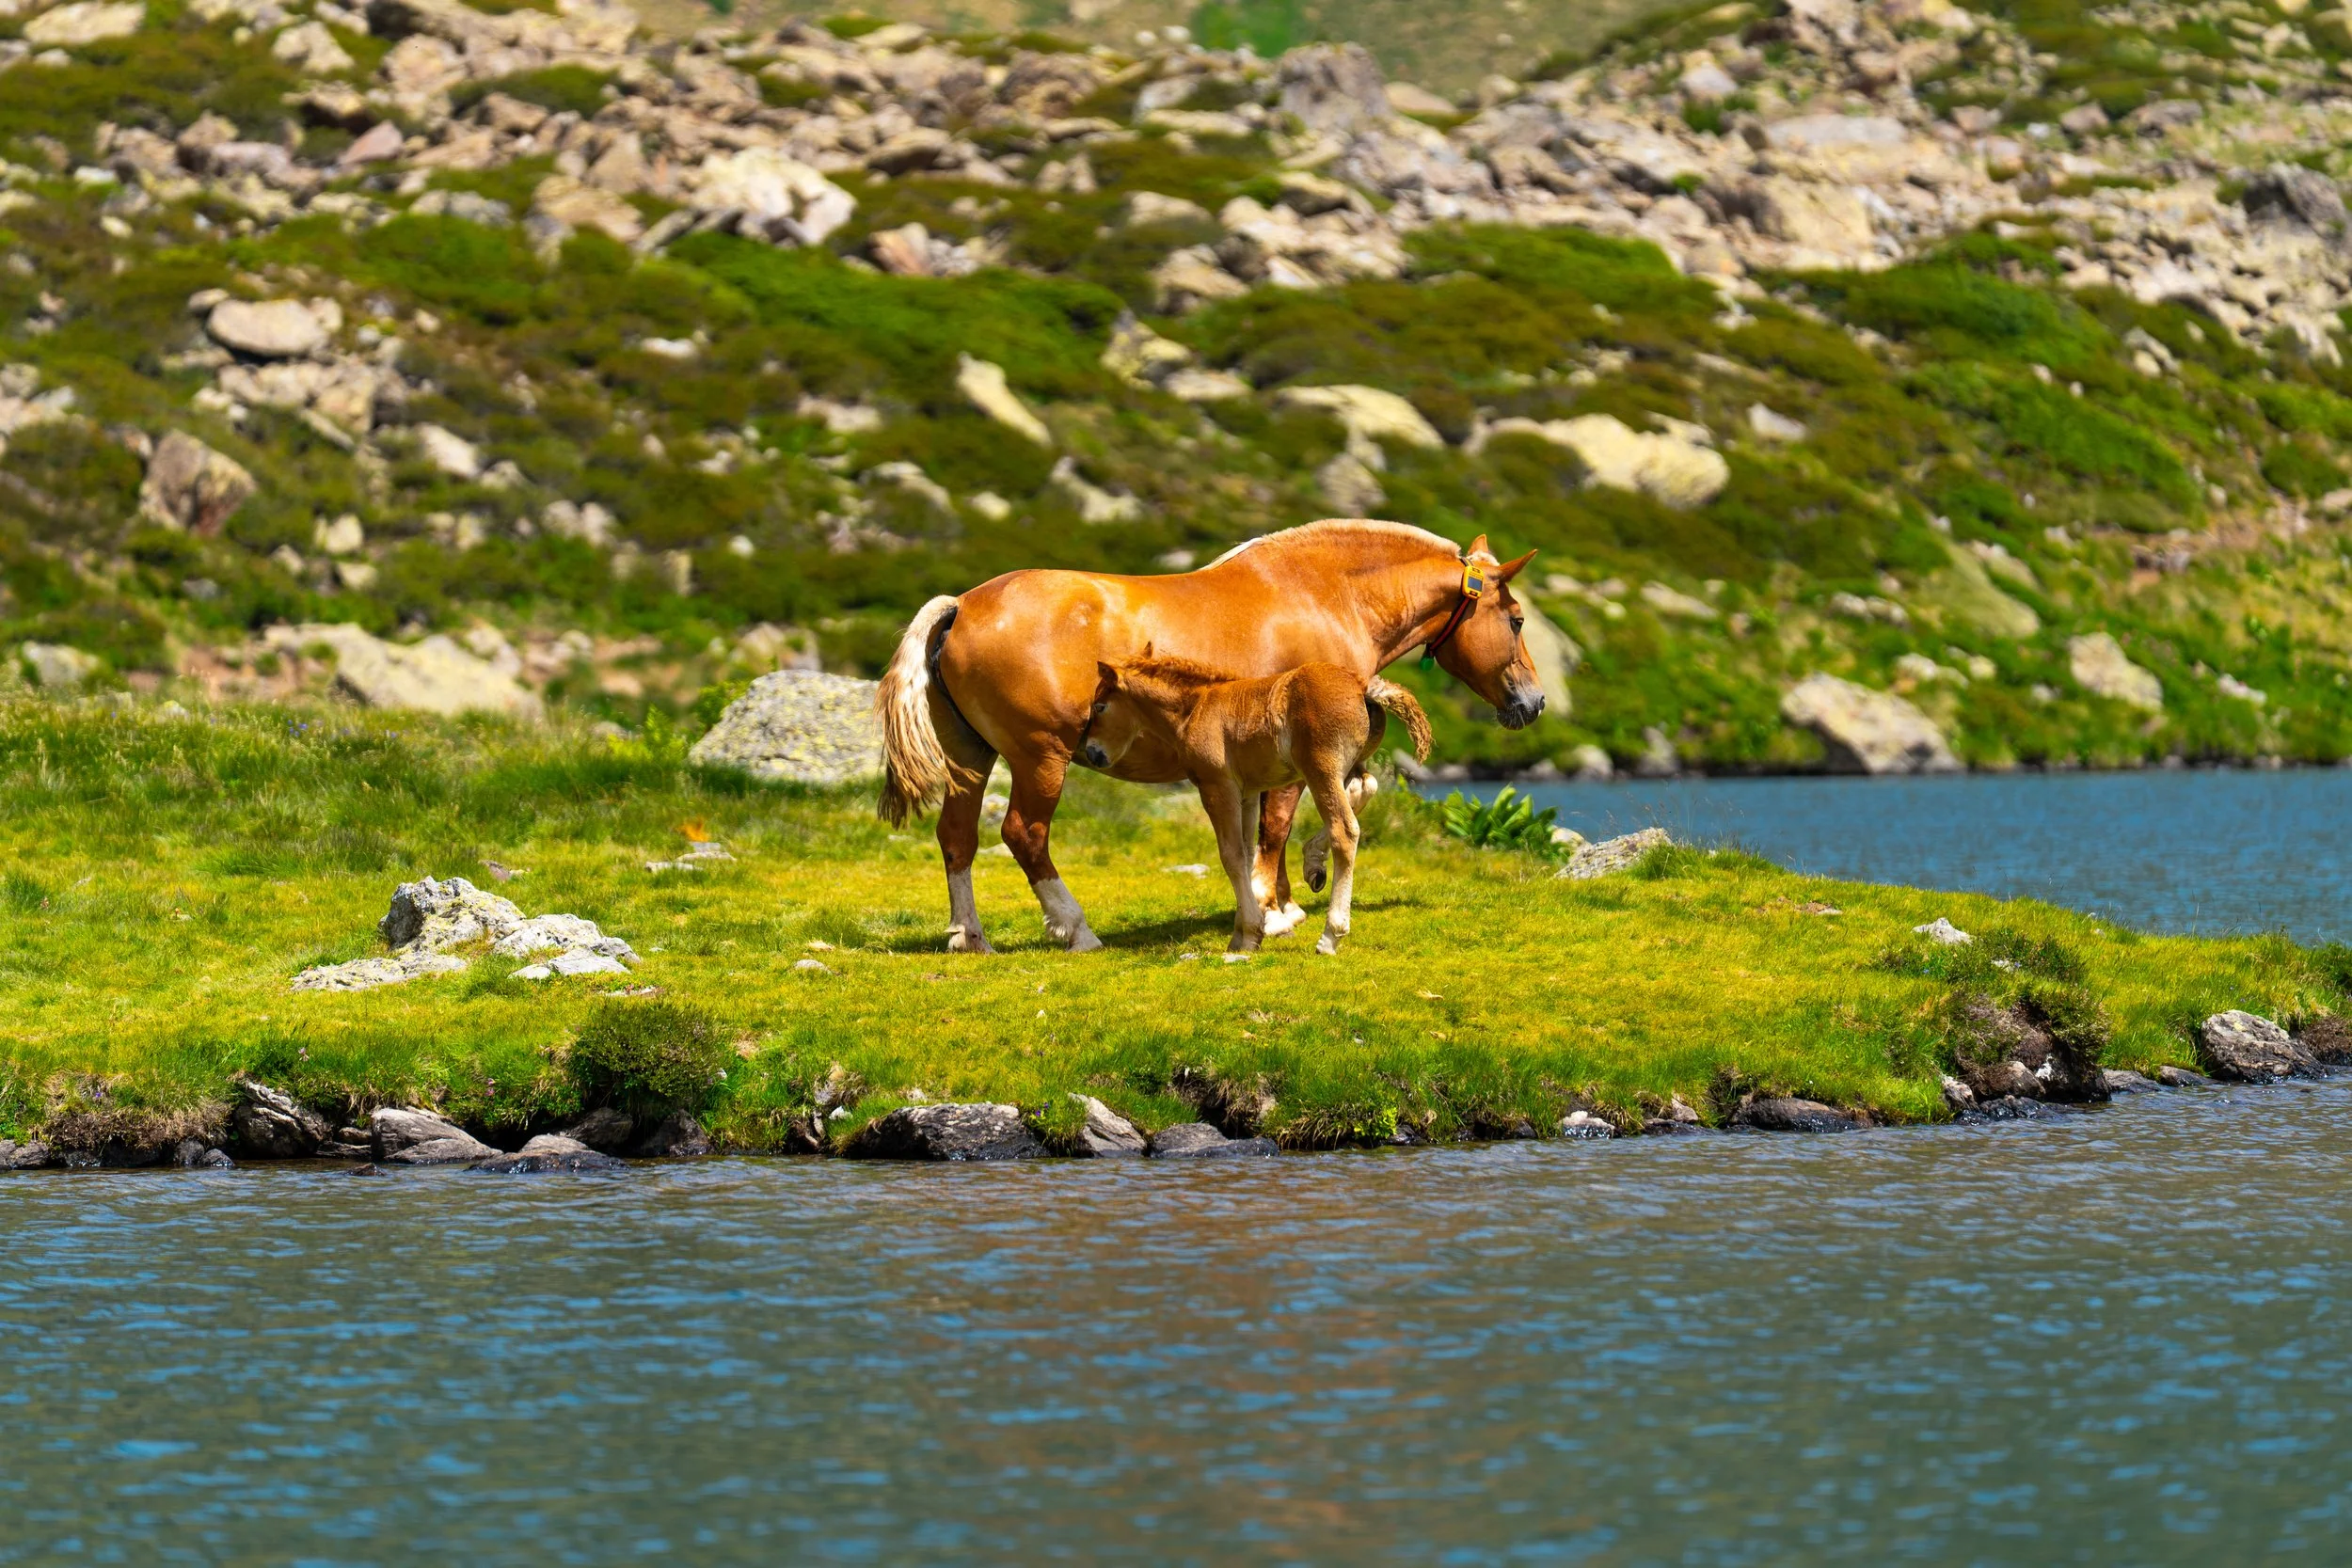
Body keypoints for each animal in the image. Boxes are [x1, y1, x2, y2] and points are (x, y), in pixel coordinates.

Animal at [1088, 654, 1432, 955]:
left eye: (1100, 706)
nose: (1092, 753)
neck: (1195, 709)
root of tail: (1361, 685)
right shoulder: (1248, 792)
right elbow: (1247, 851)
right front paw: (1247, 933)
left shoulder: (1217, 787)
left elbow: (1231, 856)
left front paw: (1248, 934)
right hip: (1349, 766)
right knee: (1365, 787)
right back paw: (1314, 864)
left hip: (1320, 770)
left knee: (1345, 831)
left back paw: (1330, 936)